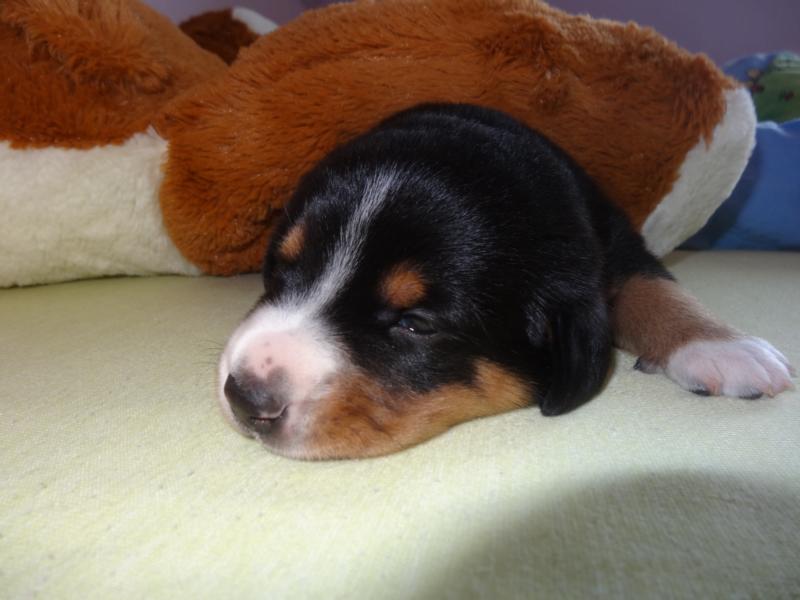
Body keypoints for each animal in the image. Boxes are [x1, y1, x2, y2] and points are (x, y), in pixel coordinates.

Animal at [218, 103, 794, 460]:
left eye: (415, 324)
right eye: (280, 270)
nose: (246, 396)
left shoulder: (615, 237)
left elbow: (652, 287)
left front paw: (723, 346)